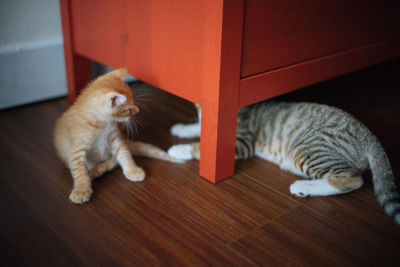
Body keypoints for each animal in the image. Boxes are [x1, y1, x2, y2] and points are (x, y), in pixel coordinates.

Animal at [54, 68, 181, 204]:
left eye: (133, 102)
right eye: (128, 110)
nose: (137, 110)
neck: (102, 124)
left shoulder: (115, 138)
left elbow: (124, 154)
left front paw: (132, 170)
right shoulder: (77, 149)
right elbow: (78, 169)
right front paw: (81, 189)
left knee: (115, 159)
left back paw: (99, 169)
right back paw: (93, 172)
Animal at [167, 100, 398, 224]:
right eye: (199, 110)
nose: (201, 117)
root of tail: (369, 135)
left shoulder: (241, 142)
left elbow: (202, 145)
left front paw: (179, 149)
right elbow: (200, 133)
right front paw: (182, 128)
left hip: (308, 150)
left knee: (352, 178)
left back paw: (302, 186)